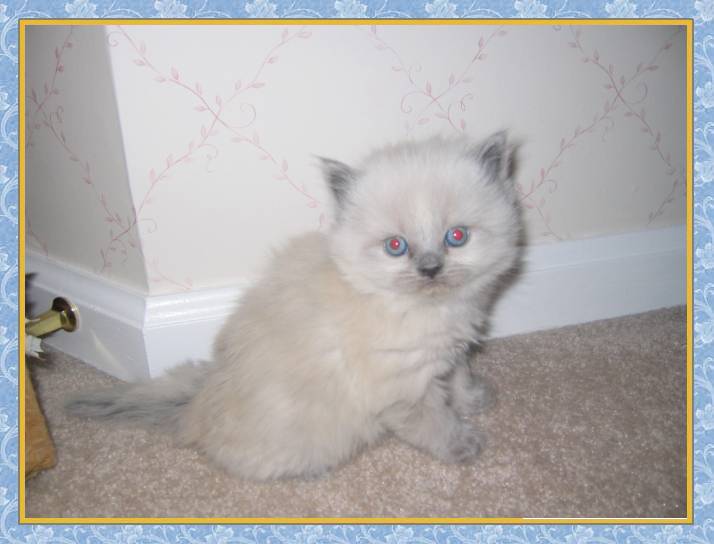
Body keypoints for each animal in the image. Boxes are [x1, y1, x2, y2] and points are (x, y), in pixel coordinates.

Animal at [68, 132, 524, 480]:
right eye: (396, 246)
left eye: (456, 237)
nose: (430, 269)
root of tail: (196, 405)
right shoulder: (406, 386)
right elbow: (436, 422)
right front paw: (463, 443)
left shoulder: (451, 353)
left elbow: (460, 377)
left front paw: (473, 400)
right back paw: (313, 472)